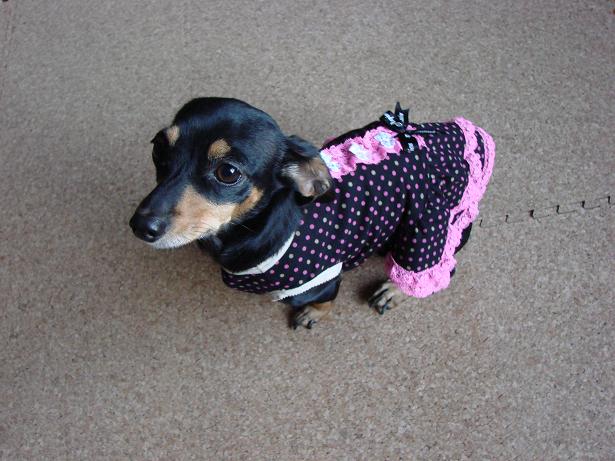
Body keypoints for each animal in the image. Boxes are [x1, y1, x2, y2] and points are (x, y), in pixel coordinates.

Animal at [129, 98, 495, 329]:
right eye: (158, 147)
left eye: (228, 172)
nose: (139, 226)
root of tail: (463, 135)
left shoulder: (322, 279)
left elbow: (324, 300)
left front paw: (314, 314)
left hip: (426, 225)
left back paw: (394, 290)